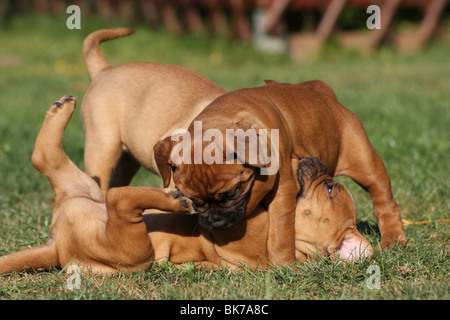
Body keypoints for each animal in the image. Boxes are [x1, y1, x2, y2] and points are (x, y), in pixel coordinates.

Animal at [0, 97, 370, 276]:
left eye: (331, 190)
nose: (317, 162)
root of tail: (57, 248)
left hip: (132, 246)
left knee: (118, 198)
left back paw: (174, 199)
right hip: (81, 189)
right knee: (46, 159)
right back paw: (60, 108)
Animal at [154, 80, 404, 264]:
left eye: (232, 193)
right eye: (193, 201)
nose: (216, 222)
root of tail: (321, 91)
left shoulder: (283, 190)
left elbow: (281, 232)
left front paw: (284, 263)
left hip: (365, 163)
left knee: (384, 201)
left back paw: (394, 239)